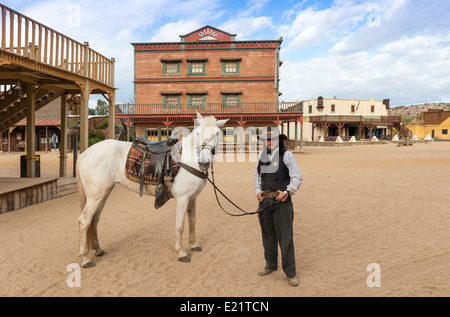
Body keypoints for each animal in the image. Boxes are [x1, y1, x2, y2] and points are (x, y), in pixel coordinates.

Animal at [77, 112, 229, 266]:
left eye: (217, 133)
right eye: (198, 133)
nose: (204, 162)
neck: (187, 160)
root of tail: (84, 154)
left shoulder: (192, 198)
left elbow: (192, 221)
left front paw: (194, 245)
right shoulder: (183, 198)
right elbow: (180, 225)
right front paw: (181, 252)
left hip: (103, 194)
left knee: (94, 219)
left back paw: (98, 249)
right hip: (95, 197)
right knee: (84, 221)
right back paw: (86, 259)